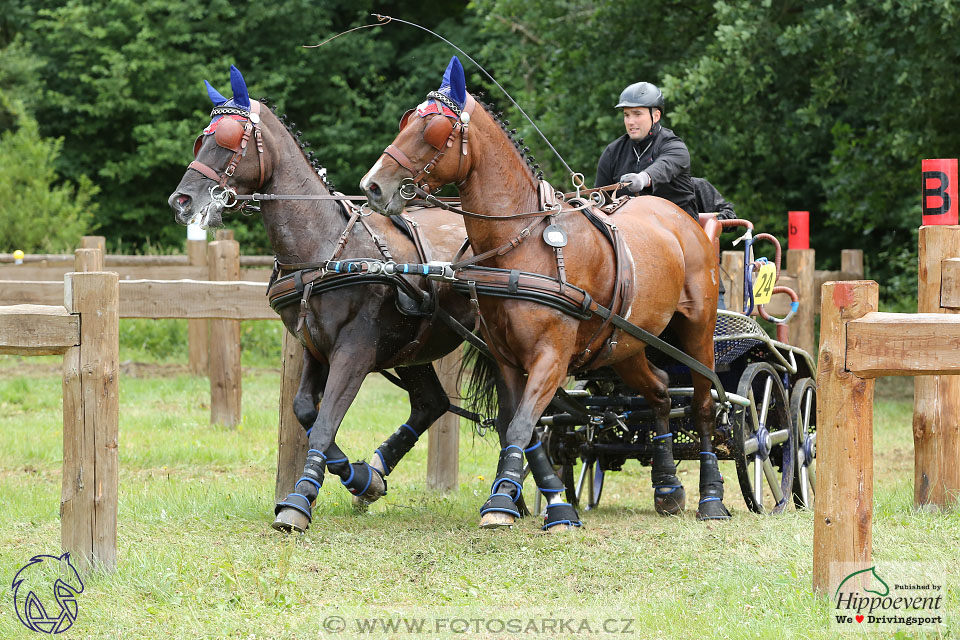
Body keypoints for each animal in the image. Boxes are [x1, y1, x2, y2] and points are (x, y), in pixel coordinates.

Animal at [360, 57, 728, 524]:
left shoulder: (551, 355)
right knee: (660, 393)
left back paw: (711, 497)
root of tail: (687, 221)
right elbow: (518, 424)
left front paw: (504, 502)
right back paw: (667, 487)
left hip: (697, 331)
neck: (522, 243)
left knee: (702, 405)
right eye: (407, 121)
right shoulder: (505, 357)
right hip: (624, 345)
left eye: (433, 130)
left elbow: (521, 424)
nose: (371, 186)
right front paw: (533, 496)